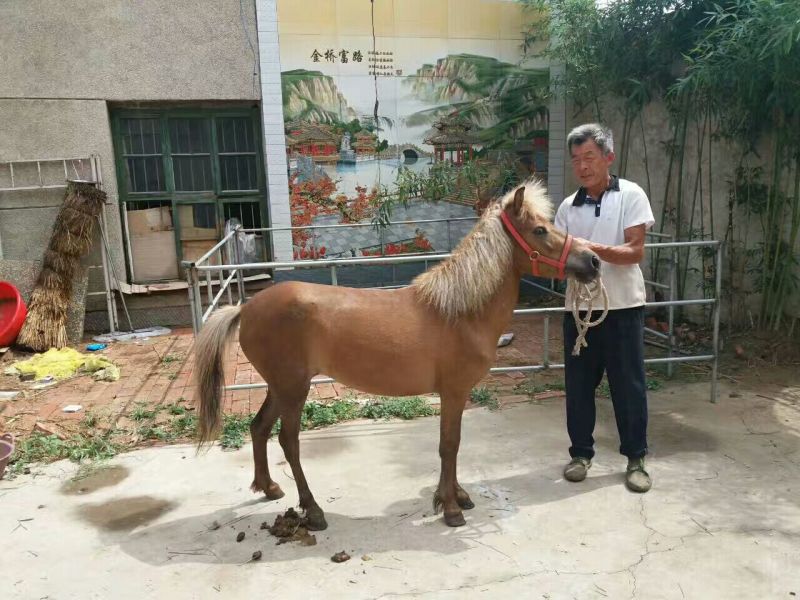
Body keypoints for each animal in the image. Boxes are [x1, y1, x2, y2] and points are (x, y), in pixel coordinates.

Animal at [194, 181, 600, 529]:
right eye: (540, 231)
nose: (593, 261)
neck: (459, 311)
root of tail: (246, 309)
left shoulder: (456, 395)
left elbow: (452, 445)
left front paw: (456, 496)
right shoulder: (454, 392)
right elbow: (449, 445)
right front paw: (450, 507)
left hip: (279, 387)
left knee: (259, 428)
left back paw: (269, 488)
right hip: (293, 389)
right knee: (288, 442)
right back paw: (313, 510)